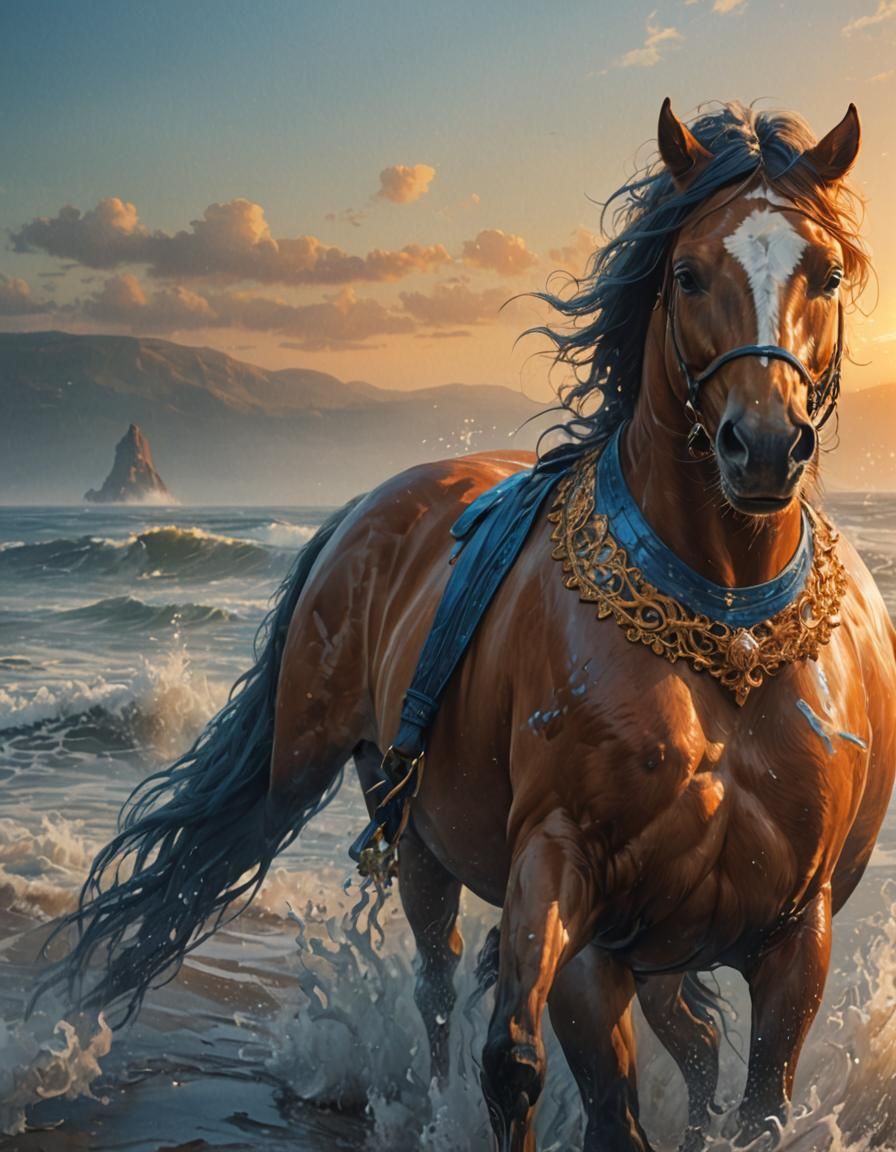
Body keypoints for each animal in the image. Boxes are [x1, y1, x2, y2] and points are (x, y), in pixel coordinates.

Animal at [38, 99, 896, 1152]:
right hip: (388, 816)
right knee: (440, 983)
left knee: (688, 1040)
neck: (720, 626)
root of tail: (375, 503)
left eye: (828, 273)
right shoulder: (573, 889)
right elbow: (523, 1065)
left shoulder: (791, 932)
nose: (763, 447)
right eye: (689, 273)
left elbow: (757, 1097)